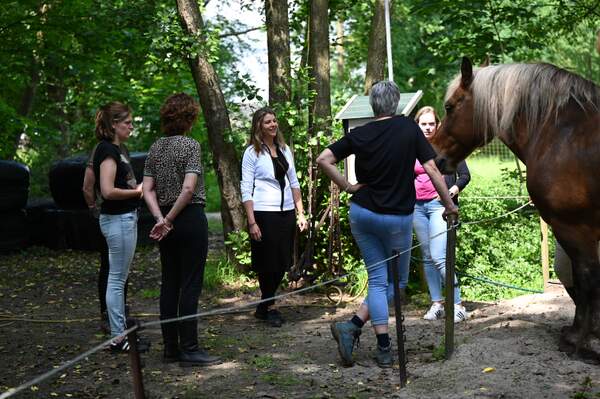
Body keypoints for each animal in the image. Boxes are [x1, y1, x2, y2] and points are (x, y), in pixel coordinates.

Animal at [432, 57, 600, 362]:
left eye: (450, 106)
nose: (435, 157)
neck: (562, 134)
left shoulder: (574, 228)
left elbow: (588, 279)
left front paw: (586, 341)